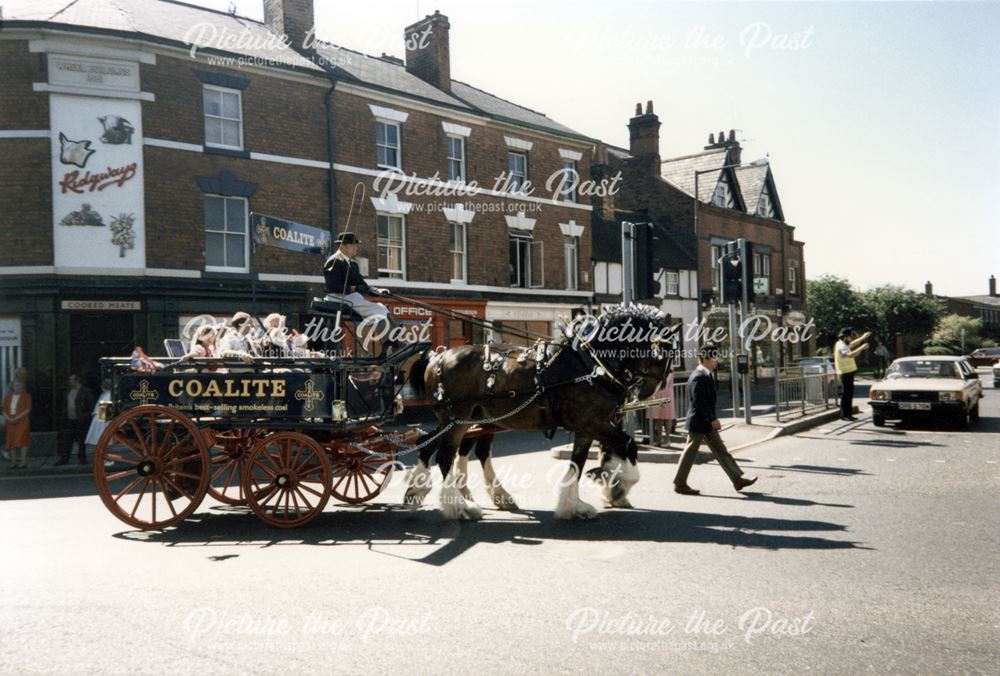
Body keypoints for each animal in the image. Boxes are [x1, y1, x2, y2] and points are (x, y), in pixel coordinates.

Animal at [402, 304, 676, 520]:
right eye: (663, 353)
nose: (649, 392)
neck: (591, 363)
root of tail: (437, 357)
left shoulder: (588, 426)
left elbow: (579, 462)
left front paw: (576, 504)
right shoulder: (593, 422)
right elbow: (629, 445)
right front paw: (618, 487)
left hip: (467, 418)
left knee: (432, 444)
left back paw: (419, 491)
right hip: (458, 418)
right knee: (445, 456)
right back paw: (461, 507)